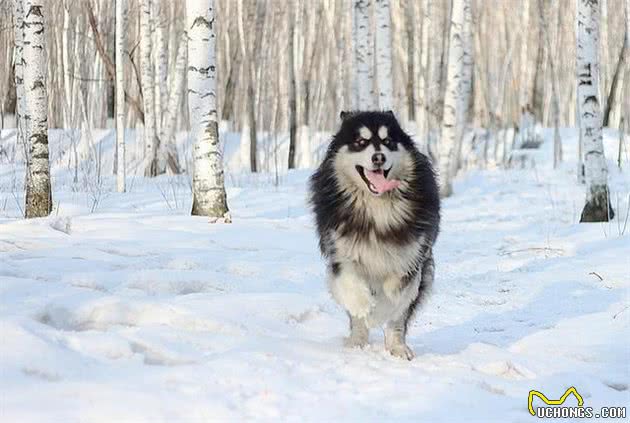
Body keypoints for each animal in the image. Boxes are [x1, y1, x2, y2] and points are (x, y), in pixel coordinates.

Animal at [310, 111, 440, 360]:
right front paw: (364, 305)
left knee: (398, 320)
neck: (376, 207)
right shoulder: (339, 251)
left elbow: (399, 290)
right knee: (358, 320)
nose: (378, 157)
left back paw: (398, 347)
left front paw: (385, 303)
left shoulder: (414, 254)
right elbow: (350, 282)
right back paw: (357, 341)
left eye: (388, 141)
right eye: (361, 142)